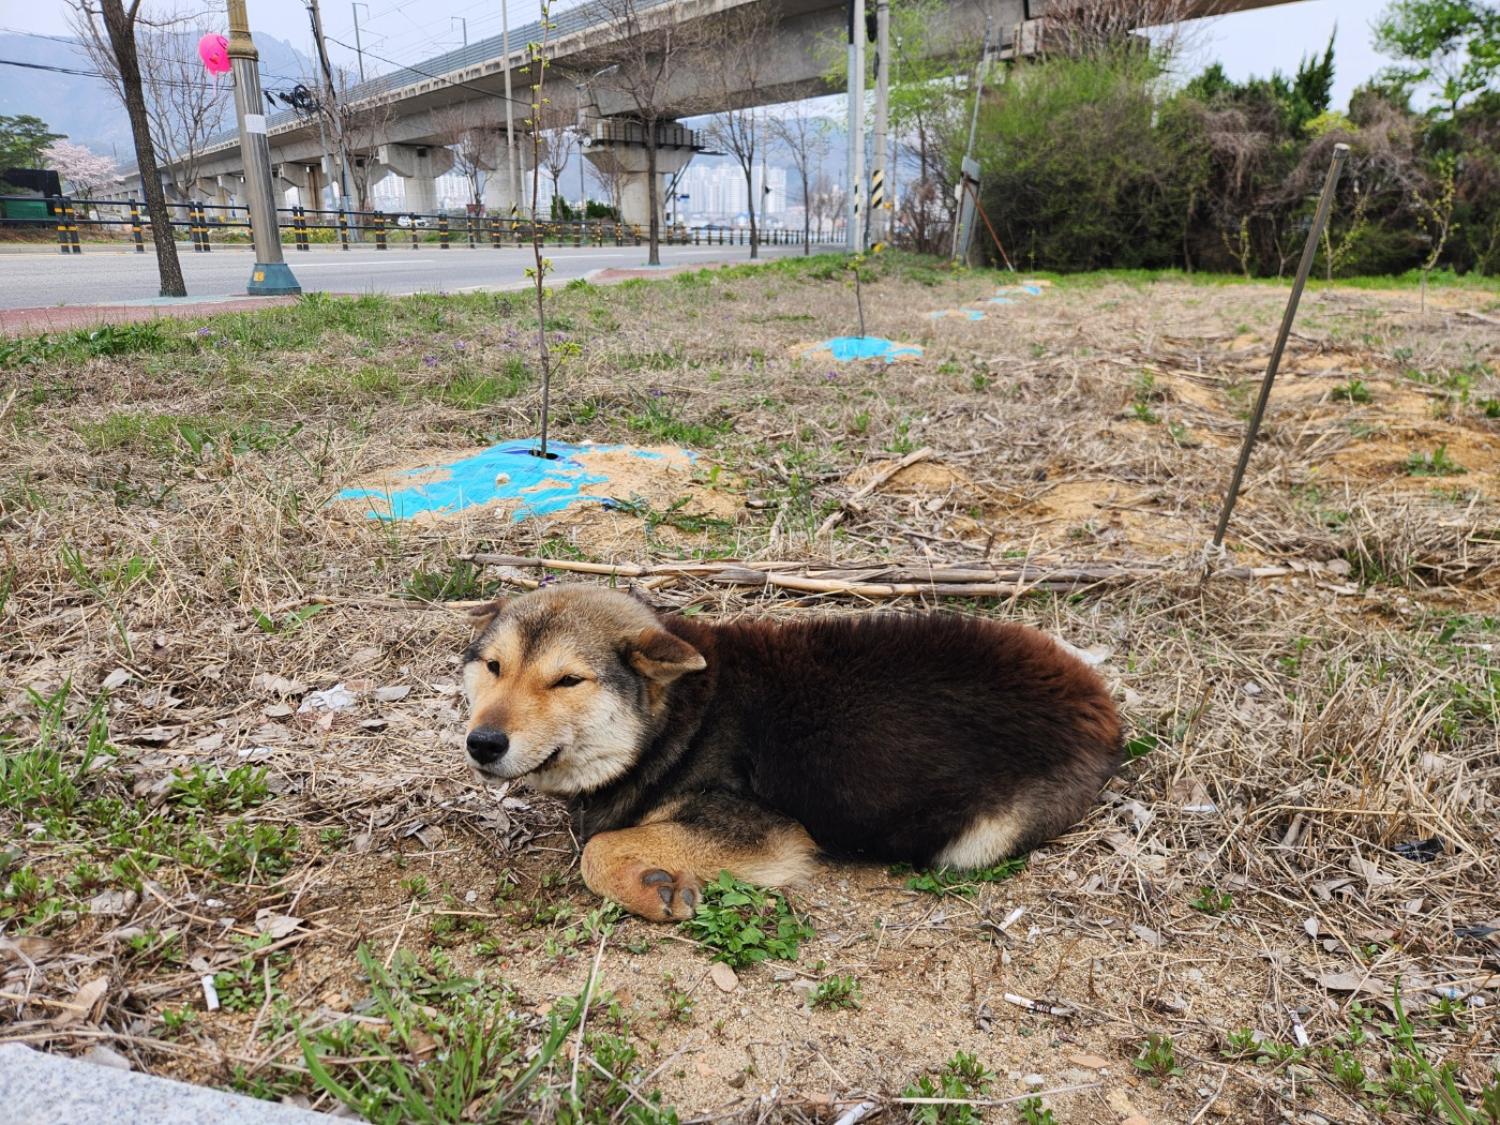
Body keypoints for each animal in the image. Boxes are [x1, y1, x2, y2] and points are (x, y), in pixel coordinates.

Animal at [462, 585, 1122, 918]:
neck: (680, 717)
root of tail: (1098, 701)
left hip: (974, 837)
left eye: (567, 681)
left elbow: (598, 851)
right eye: (493, 667)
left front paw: (652, 886)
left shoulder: (768, 828)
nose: (483, 743)